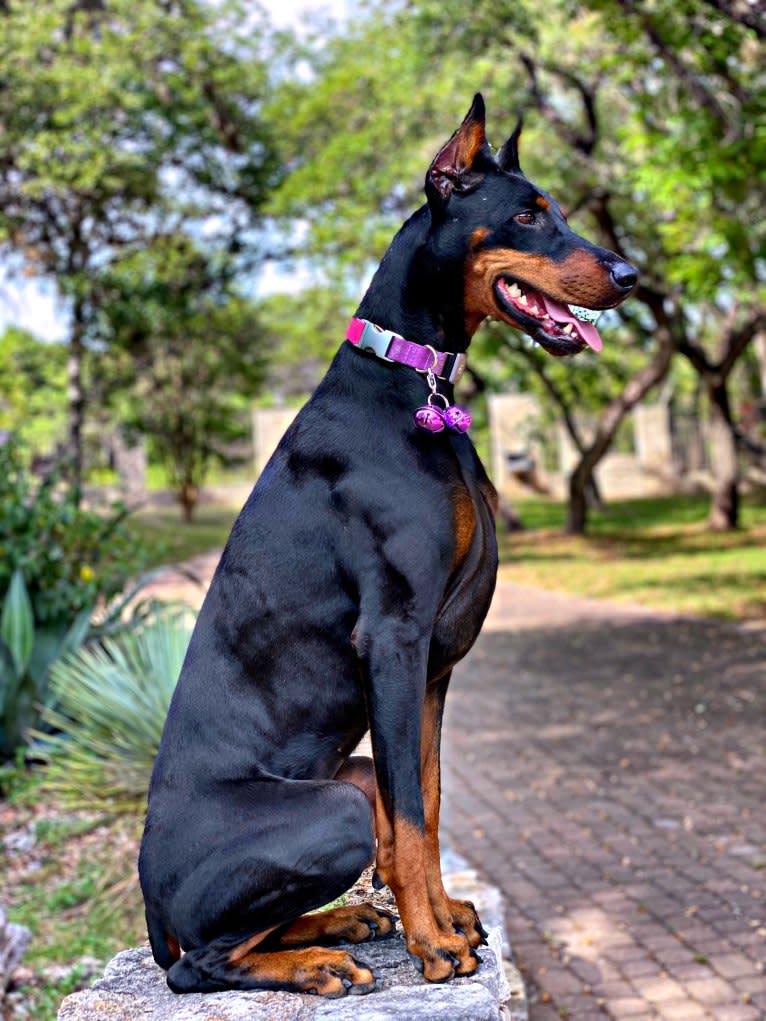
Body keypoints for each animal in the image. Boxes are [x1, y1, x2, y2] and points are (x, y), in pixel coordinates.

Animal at [137, 93, 637, 996]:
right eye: (526, 215)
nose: (629, 276)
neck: (415, 381)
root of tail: (151, 909)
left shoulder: (432, 665)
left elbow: (425, 806)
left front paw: (441, 917)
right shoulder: (394, 637)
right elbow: (408, 818)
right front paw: (433, 943)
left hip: (352, 774)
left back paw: (344, 919)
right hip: (329, 807)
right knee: (201, 964)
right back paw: (318, 961)